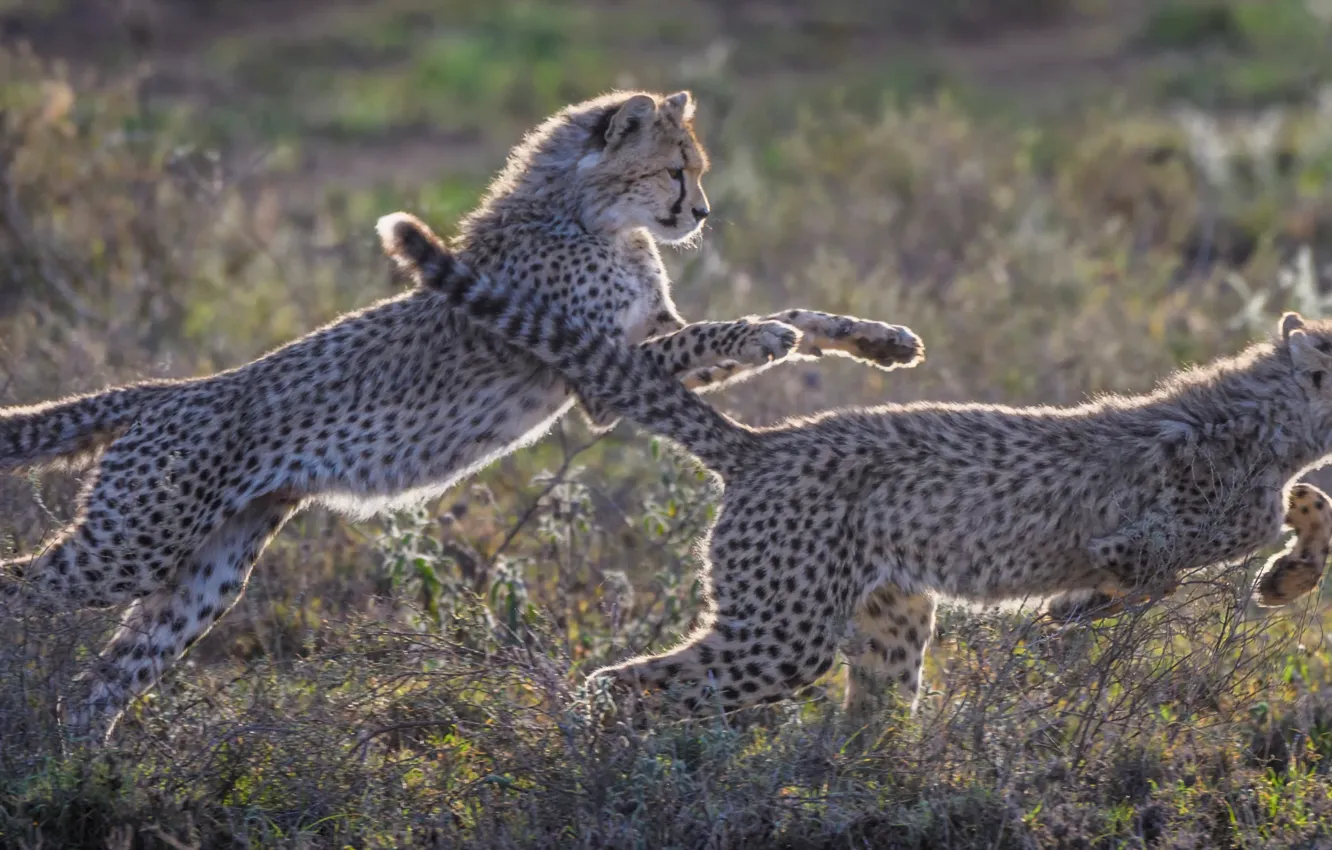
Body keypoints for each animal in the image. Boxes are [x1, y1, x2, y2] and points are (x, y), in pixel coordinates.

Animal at [0, 89, 917, 744]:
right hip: (131, 544)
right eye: (673, 171)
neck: (591, 218)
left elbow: (795, 314)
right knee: (25, 587)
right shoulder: (599, 378)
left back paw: (79, 768)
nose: (700, 215)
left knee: (110, 679)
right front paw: (771, 332)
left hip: (207, 575)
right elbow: (745, 326)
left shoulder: (642, 345)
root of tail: (165, 390)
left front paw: (880, 339)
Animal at [384, 212, 1332, 727]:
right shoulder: (1133, 536)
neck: (1277, 422)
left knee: (866, 723)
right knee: (620, 684)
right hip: (782, 633)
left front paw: (1286, 577)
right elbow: (1155, 575)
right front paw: (1076, 608)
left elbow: (1309, 501)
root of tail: (763, 443)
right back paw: (617, 767)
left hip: (883, 621)